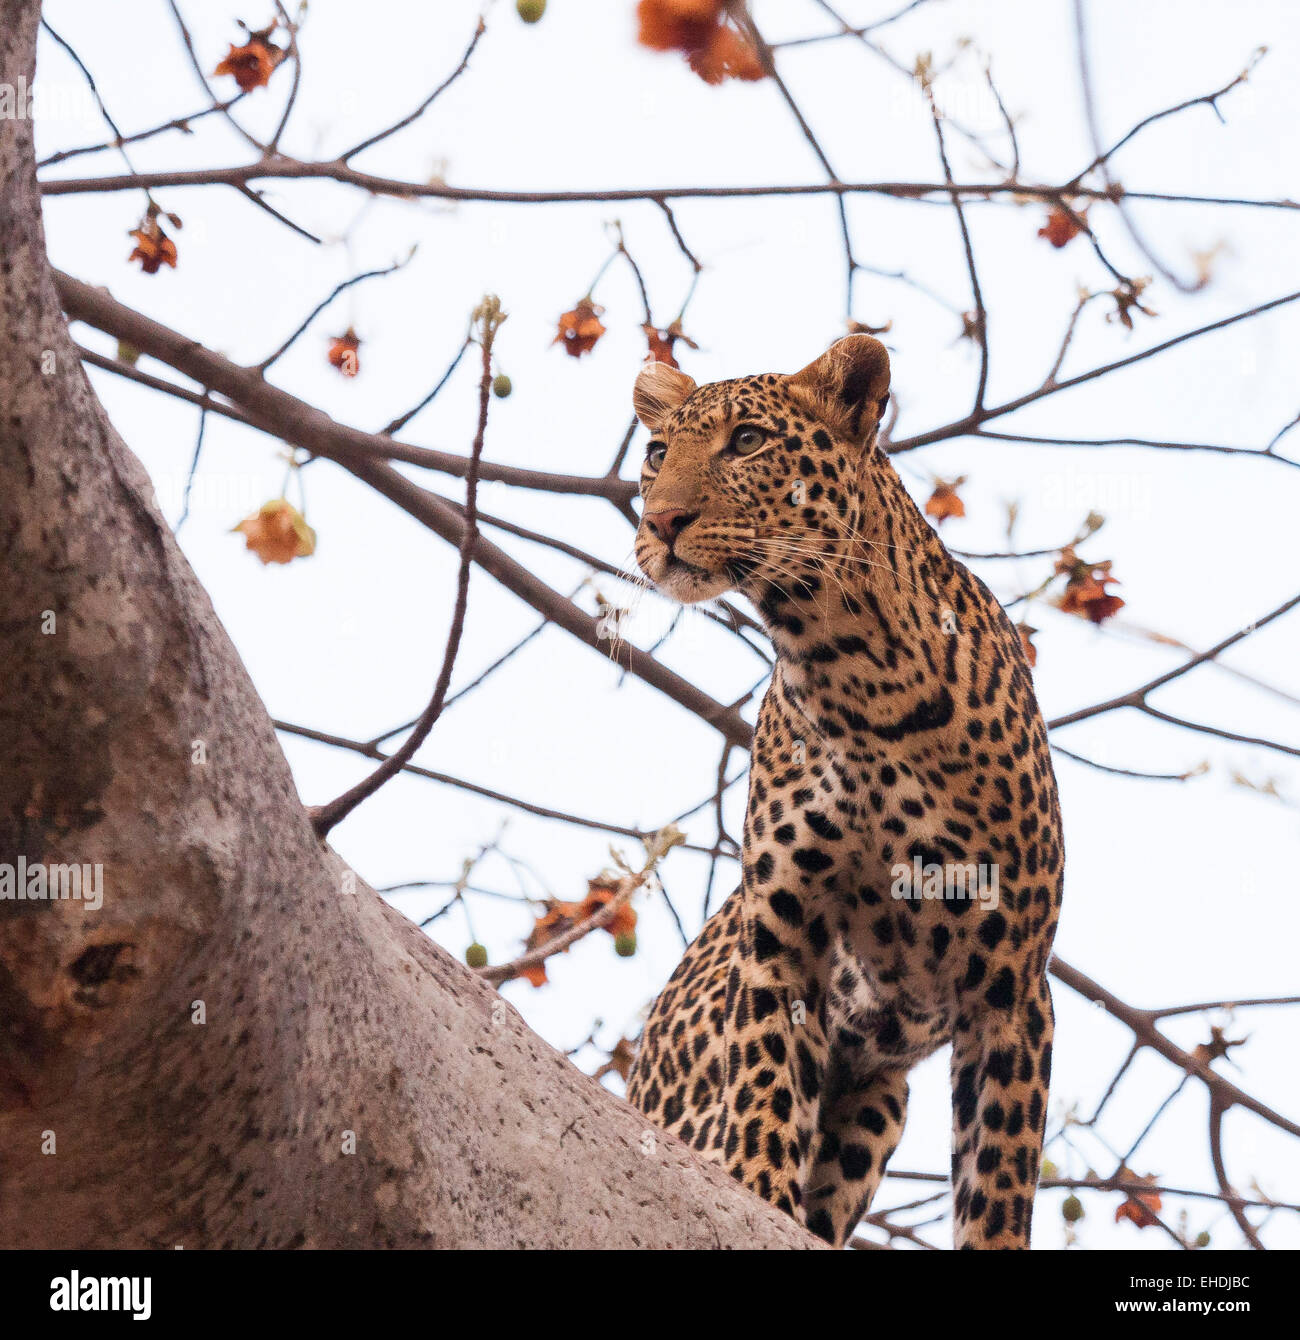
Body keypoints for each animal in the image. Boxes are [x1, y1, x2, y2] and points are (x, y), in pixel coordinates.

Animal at [624, 332, 1061, 1243]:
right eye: (655, 455)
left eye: (746, 441)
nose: (659, 523)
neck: (853, 672)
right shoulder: (781, 928)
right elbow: (765, 1082)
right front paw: (757, 1190)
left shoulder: (1014, 985)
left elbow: (1000, 1174)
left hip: (880, 1099)